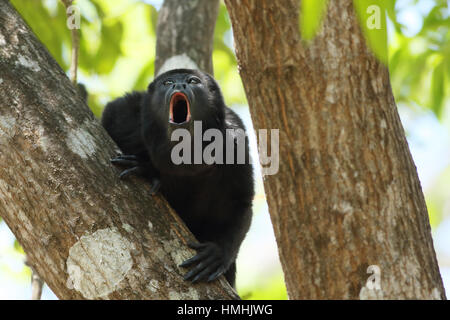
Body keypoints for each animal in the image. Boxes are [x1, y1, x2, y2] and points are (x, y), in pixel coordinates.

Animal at [103, 68, 256, 288]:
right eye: (167, 82)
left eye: (193, 81)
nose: (179, 85)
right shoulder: (128, 116)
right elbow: (111, 114)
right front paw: (148, 168)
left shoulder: (235, 142)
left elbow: (240, 202)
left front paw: (218, 252)